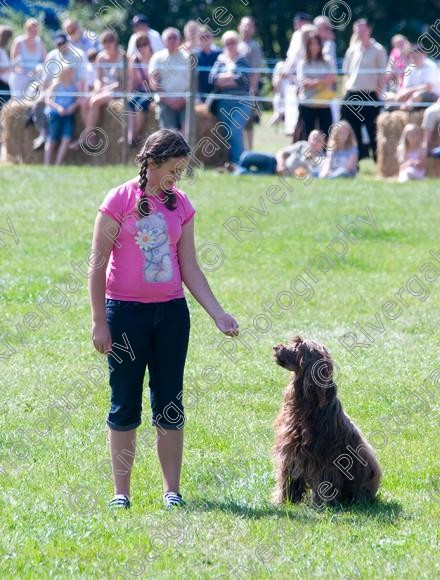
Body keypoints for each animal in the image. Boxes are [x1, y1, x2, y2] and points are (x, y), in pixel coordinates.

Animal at [272, 338, 382, 506]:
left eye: (297, 347)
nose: (276, 347)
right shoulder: (290, 451)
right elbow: (288, 477)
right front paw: (286, 500)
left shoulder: (325, 459)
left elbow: (325, 482)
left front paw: (322, 505)